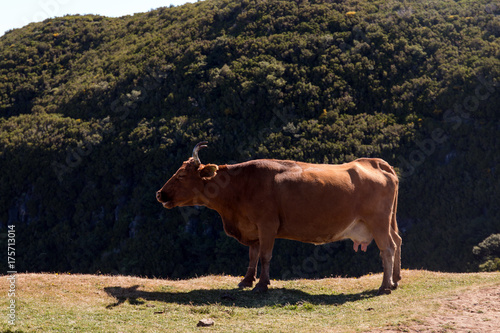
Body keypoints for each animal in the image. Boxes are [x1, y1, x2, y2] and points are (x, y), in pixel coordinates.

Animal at [156, 141, 402, 294]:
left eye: (181, 175)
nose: (160, 194)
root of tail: (375, 162)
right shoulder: (252, 228)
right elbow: (252, 256)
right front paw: (246, 281)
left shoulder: (267, 225)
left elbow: (265, 255)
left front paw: (262, 285)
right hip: (389, 221)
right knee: (398, 241)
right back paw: (396, 280)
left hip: (378, 222)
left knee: (387, 248)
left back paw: (384, 287)